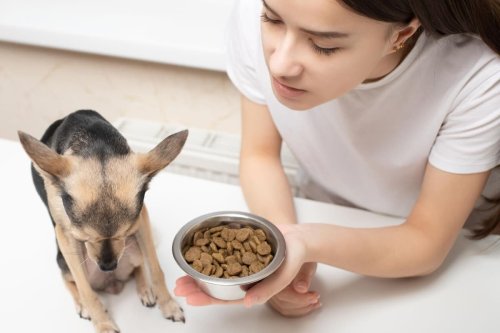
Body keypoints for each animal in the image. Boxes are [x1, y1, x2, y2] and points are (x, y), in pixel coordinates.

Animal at [18, 110, 188, 330]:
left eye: (126, 232)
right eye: (83, 237)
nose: (108, 267)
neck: (96, 144)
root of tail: (112, 284)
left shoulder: (141, 220)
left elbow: (155, 268)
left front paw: (168, 305)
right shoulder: (66, 235)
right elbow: (86, 290)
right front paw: (104, 324)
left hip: (134, 248)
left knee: (139, 266)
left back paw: (145, 289)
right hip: (65, 259)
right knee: (70, 280)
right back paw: (82, 305)